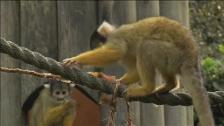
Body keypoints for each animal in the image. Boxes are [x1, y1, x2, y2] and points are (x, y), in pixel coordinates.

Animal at [63, 16, 215, 126]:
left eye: (97, 45)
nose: (99, 47)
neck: (113, 32)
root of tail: (192, 55)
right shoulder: (125, 55)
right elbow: (134, 70)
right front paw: (115, 81)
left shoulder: (117, 37)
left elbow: (115, 53)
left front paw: (77, 60)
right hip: (173, 58)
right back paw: (169, 85)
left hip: (173, 53)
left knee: (146, 46)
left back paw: (148, 88)